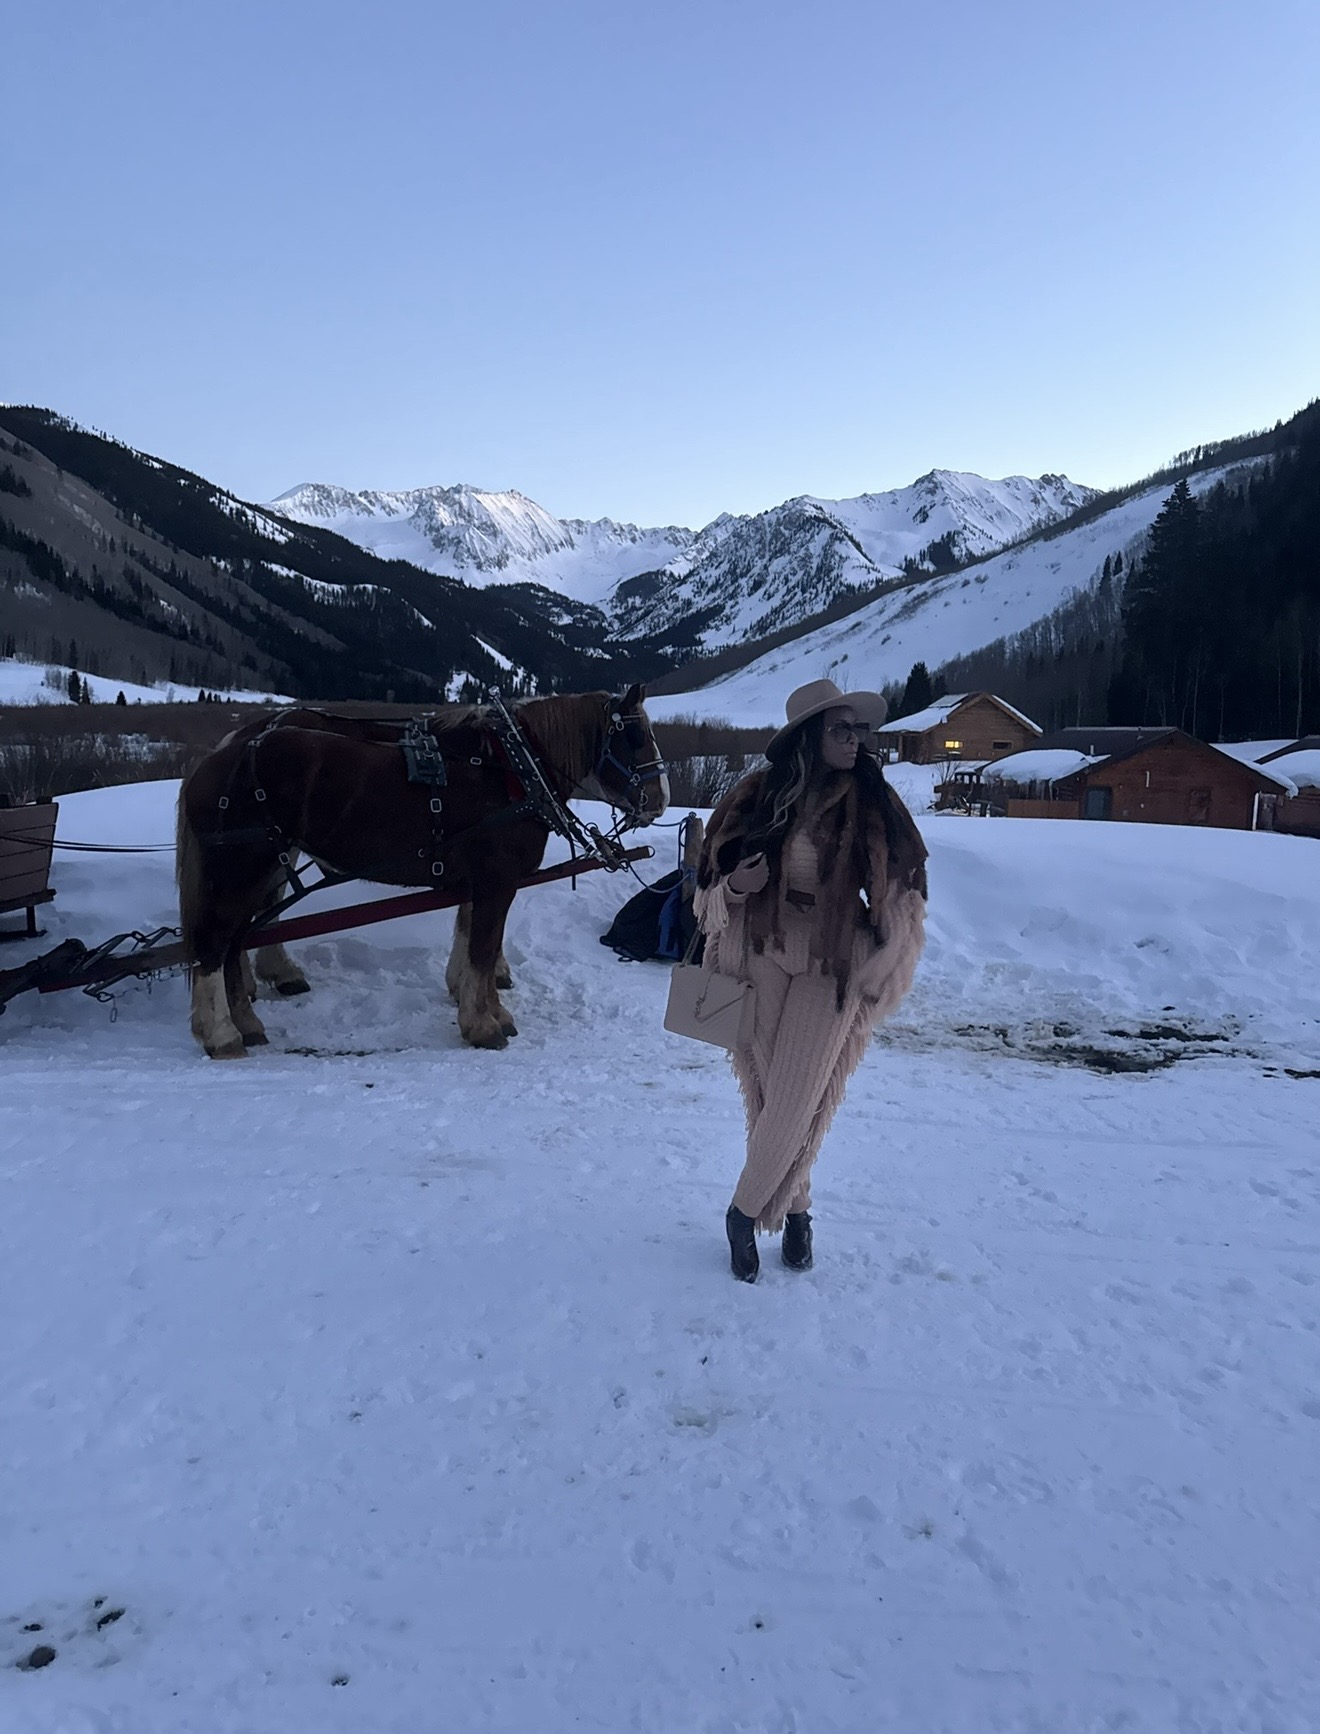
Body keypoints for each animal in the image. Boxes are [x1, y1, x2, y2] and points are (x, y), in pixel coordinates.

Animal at [176, 685, 667, 1058]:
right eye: (635, 735)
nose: (661, 800)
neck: (513, 769)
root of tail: (216, 758)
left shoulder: (478, 882)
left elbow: (475, 942)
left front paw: (486, 1007)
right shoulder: (496, 881)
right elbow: (483, 948)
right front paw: (483, 1024)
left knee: (236, 940)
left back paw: (248, 1018)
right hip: (243, 869)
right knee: (216, 942)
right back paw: (223, 1033)